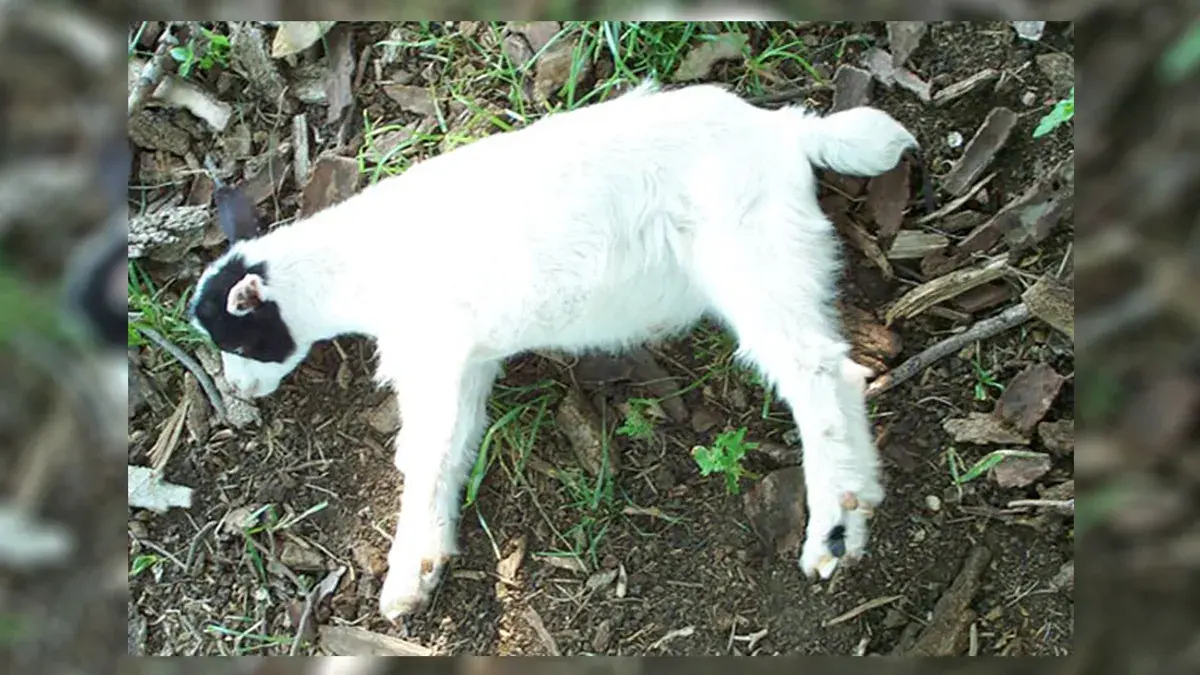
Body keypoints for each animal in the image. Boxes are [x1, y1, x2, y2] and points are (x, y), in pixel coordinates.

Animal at [188, 80, 918, 621]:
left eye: (237, 336)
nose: (239, 393)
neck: (357, 266)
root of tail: (784, 132)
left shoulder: (431, 350)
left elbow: (423, 454)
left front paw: (404, 575)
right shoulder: (468, 360)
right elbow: (454, 448)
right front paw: (427, 562)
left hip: (751, 253)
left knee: (817, 371)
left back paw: (831, 530)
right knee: (838, 368)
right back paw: (856, 511)